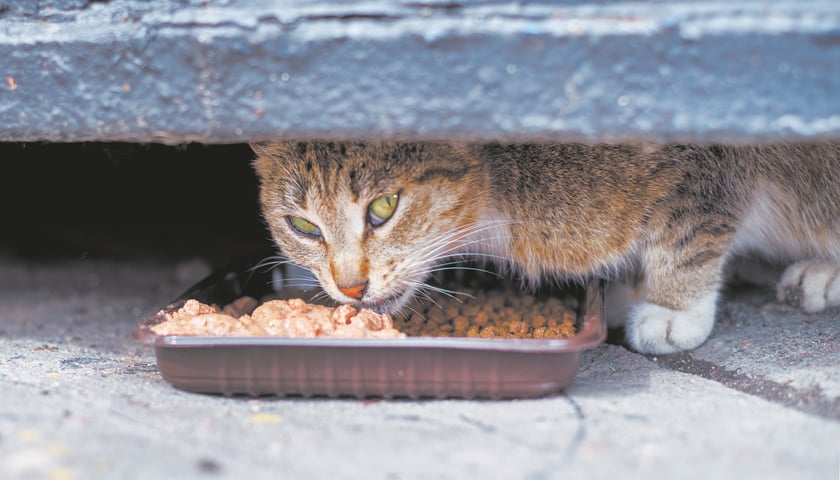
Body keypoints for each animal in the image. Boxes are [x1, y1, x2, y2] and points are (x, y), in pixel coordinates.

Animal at [251, 141, 840, 354]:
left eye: (384, 207)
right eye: (301, 226)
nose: (350, 285)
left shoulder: (704, 159)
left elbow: (688, 232)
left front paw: (674, 308)